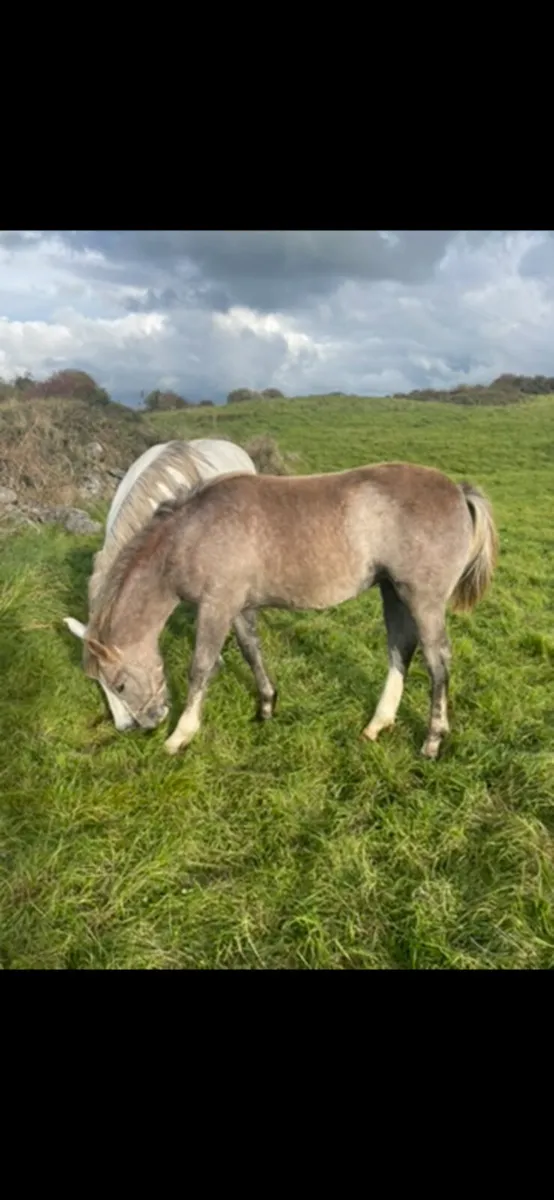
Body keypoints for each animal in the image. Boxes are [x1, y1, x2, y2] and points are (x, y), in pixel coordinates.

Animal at [80, 460, 498, 759]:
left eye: (119, 684)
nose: (143, 725)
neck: (191, 533)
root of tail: (458, 491)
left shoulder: (215, 607)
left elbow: (201, 667)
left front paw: (180, 735)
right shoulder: (237, 607)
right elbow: (251, 651)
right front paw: (266, 706)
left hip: (423, 601)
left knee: (437, 662)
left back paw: (432, 741)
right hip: (393, 594)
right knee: (400, 651)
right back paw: (377, 725)